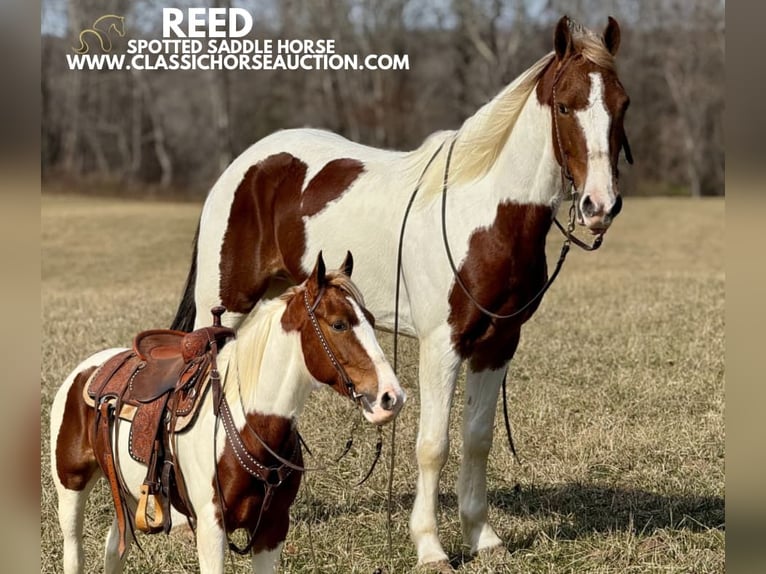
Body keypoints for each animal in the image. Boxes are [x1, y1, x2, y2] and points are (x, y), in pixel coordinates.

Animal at [172, 15, 632, 568]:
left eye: (623, 103)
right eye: (565, 105)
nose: (599, 205)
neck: (482, 214)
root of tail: (246, 164)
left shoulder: (498, 344)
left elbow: (477, 438)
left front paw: (483, 537)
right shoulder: (442, 344)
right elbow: (432, 444)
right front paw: (430, 547)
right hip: (222, 305)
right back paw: (182, 518)